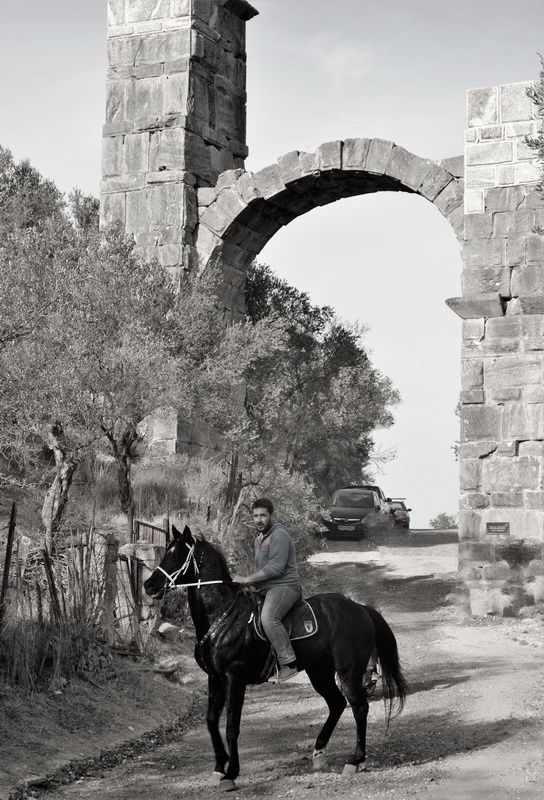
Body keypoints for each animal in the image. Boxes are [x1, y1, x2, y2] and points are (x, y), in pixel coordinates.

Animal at [144, 524, 408, 791]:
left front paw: (231, 773)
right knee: (337, 703)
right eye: (167, 551)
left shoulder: (234, 678)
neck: (222, 614)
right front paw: (219, 767)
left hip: (348, 671)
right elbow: (211, 720)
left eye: (177, 555)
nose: (149, 585)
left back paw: (354, 760)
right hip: (319, 672)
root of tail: (360, 608)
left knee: (359, 707)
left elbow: (231, 726)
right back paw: (319, 753)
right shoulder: (215, 678)